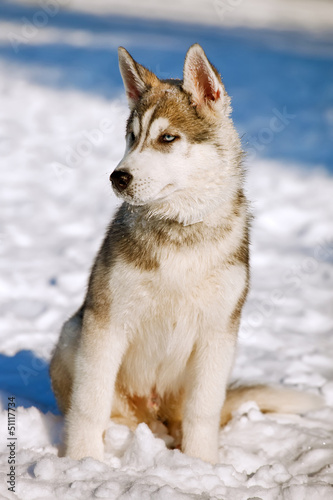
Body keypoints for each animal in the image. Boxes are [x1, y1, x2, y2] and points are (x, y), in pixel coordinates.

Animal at [50, 45, 322, 462]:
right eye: (131, 137)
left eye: (167, 138)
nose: (118, 177)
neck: (180, 230)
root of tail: (154, 412)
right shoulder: (106, 322)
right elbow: (89, 402)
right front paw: (83, 461)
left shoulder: (218, 331)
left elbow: (203, 409)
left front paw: (201, 463)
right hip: (72, 335)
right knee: (116, 412)